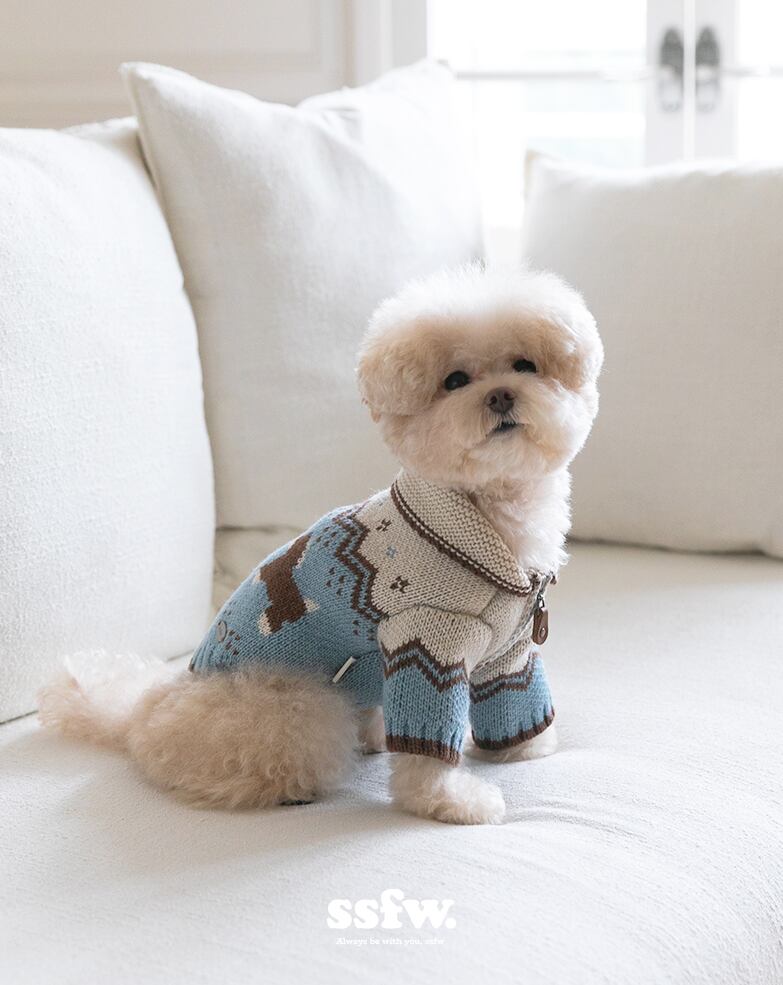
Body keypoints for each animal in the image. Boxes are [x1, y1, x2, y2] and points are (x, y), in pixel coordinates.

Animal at [39, 264, 602, 825]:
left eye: (525, 365)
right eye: (455, 381)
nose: (502, 394)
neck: (493, 515)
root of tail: (145, 711)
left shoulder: (511, 652)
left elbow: (514, 696)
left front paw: (525, 747)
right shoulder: (426, 642)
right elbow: (426, 742)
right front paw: (450, 799)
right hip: (296, 709)